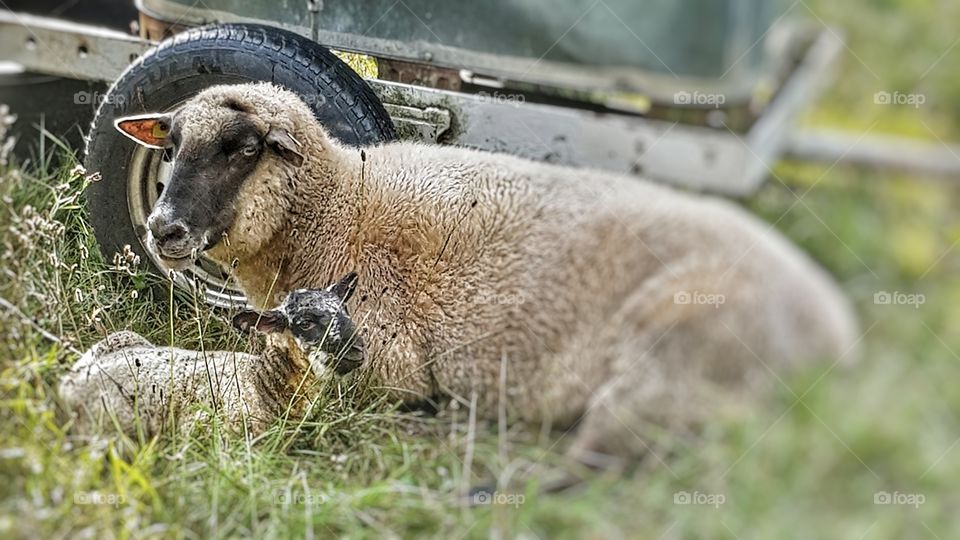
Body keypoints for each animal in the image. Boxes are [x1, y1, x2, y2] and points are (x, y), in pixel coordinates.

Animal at [111, 82, 859, 466]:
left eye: (241, 149)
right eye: (171, 146)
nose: (164, 229)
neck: (338, 205)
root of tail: (834, 328)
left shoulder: (383, 363)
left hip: (676, 353)